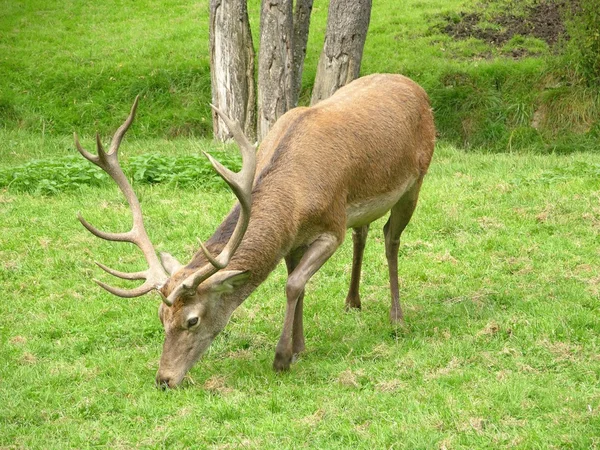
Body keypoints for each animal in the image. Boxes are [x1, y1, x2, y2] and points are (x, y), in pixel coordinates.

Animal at [76, 74, 436, 386]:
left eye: (192, 320)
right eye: (160, 317)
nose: (164, 380)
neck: (295, 199)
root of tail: (415, 86)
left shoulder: (332, 227)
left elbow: (293, 284)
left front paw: (283, 357)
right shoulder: (292, 240)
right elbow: (300, 284)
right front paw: (300, 346)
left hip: (415, 180)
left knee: (391, 237)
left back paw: (397, 317)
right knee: (363, 232)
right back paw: (352, 301)